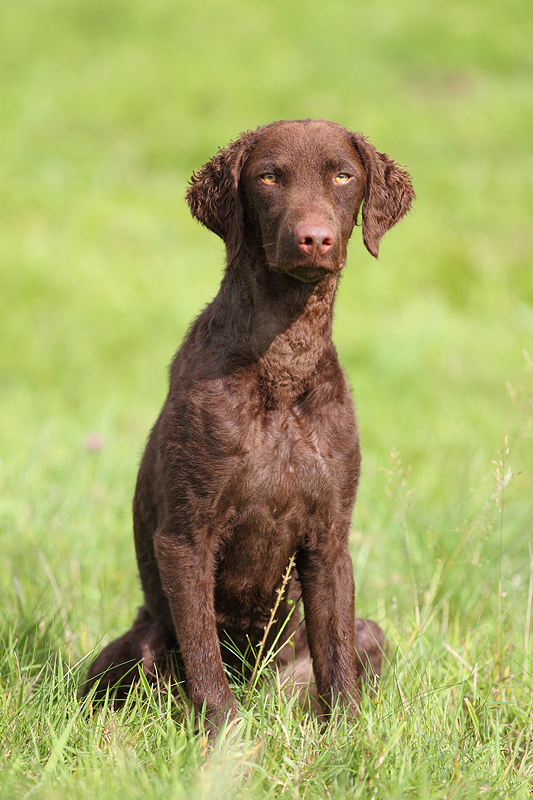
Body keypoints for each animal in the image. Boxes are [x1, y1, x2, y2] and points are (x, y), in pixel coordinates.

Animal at [84, 120, 416, 732]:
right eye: (268, 177)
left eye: (343, 175)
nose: (314, 239)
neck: (280, 372)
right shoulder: (185, 537)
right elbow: (205, 663)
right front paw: (225, 741)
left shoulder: (329, 538)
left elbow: (337, 659)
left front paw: (347, 738)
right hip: (138, 645)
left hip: (366, 635)